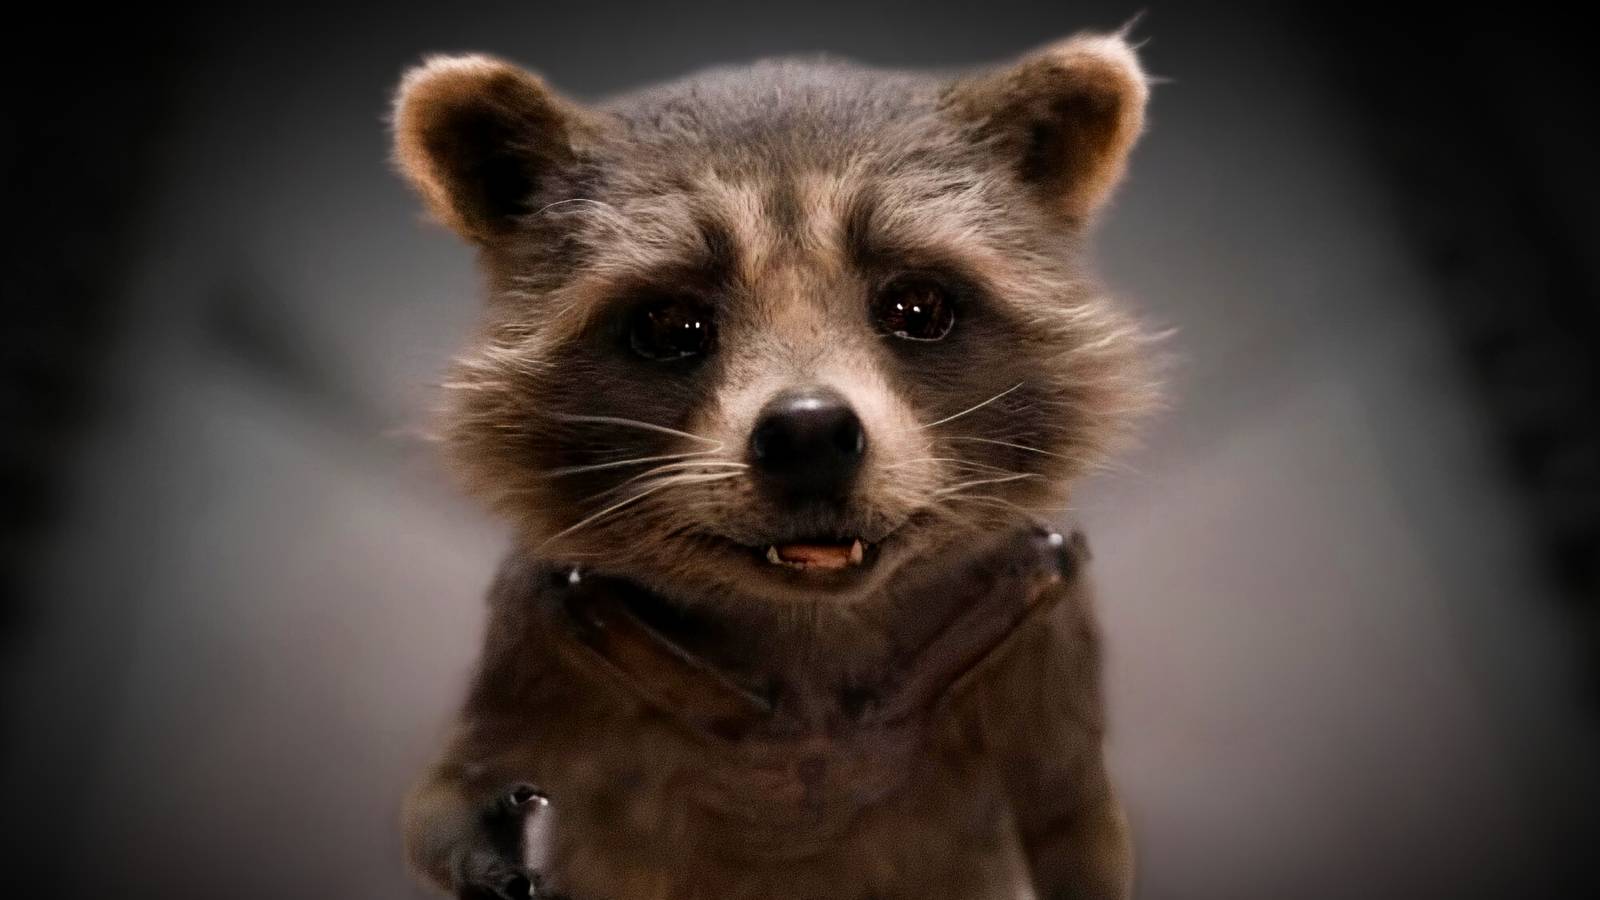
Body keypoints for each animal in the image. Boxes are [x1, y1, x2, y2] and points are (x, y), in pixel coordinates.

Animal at [392, 29, 1154, 900]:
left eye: (916, 306)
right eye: (671, 323)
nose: (809, 433)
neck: (811, 626)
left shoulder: (1048, 630)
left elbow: (1079, 826)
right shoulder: (534, 646)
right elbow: (438, 802)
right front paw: (489, 841)